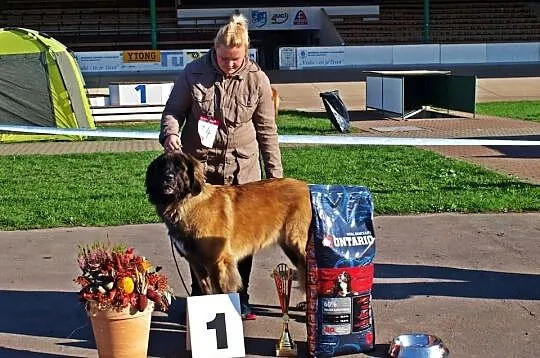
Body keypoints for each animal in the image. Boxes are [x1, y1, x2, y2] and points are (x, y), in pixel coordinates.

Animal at [144, 152, 312, 296]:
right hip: (290, 247)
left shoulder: (218, 261)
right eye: (161, 167)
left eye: (180, 168)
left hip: (297, 242)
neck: (184, 202)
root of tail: (309, 186)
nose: (168, 177)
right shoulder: (196, 263)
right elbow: (207, 291)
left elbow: (220, 292)